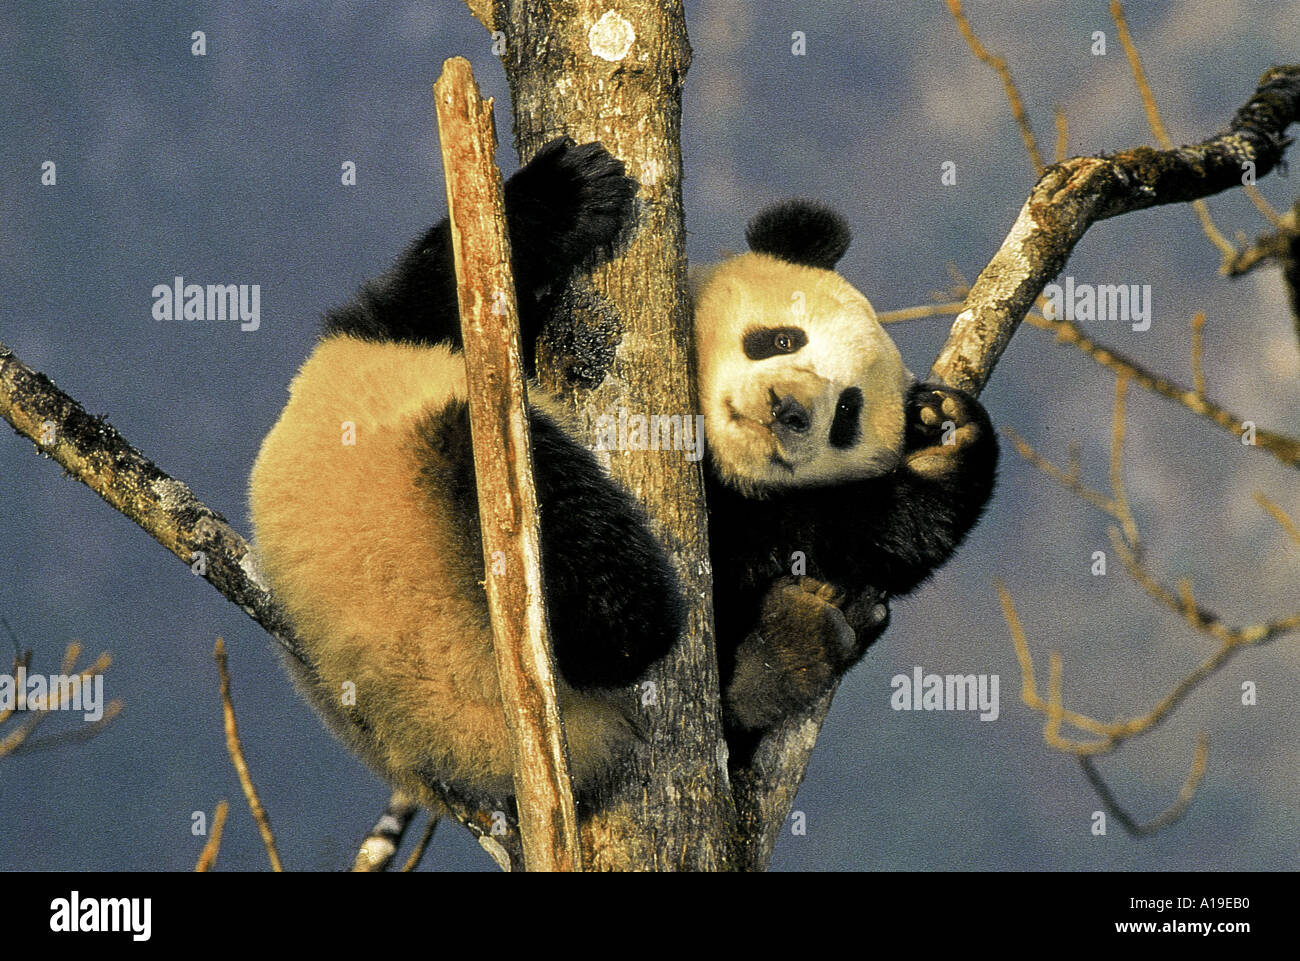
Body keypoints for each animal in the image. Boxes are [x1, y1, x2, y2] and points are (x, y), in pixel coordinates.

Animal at [248, 137, 997, 813]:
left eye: (847, 412)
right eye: (782, 338)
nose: (787, 411)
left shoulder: (766, 511)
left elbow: (836, 532)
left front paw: (949, 442)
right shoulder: (412, 337)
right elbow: (448, 290)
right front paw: (571, 191)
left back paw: (786, 650)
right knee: (528, 491)